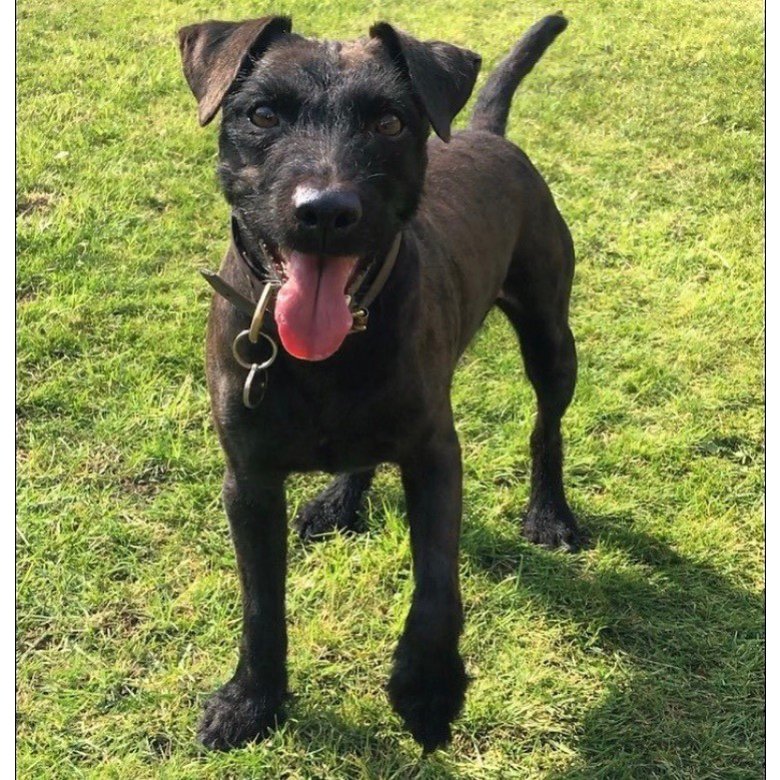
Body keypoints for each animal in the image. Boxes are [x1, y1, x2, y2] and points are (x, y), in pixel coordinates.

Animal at [177, 12, 580, 752]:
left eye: (391, 122)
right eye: (262, 114)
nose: (325, 210)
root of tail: (485, 130)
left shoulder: (435, 455)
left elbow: (437, 583)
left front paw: (428, 687)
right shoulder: (247, 479)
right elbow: (260, 602)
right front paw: (252, 699)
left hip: (549, 336)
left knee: (548, 428)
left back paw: (550, 514)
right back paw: (339, 499)